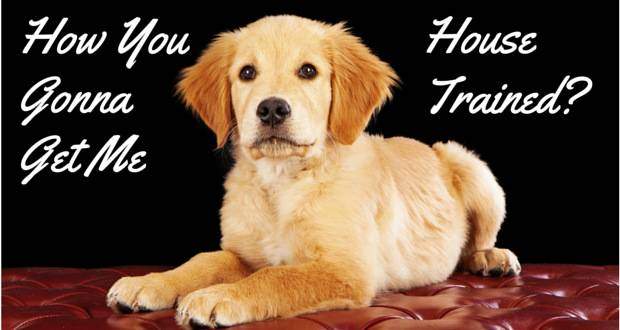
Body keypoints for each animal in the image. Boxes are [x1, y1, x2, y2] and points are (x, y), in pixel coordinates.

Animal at [105, 16, 520, 330]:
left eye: (308, 71)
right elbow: (205, 260)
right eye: (247, 73)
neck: (282, 180)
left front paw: (218, 295)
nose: (272, 109)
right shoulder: (243, 253)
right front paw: (151, 283)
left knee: (474, 243)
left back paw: (491, 258)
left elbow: (278, 276)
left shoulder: (347, 269)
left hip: (470, 166)